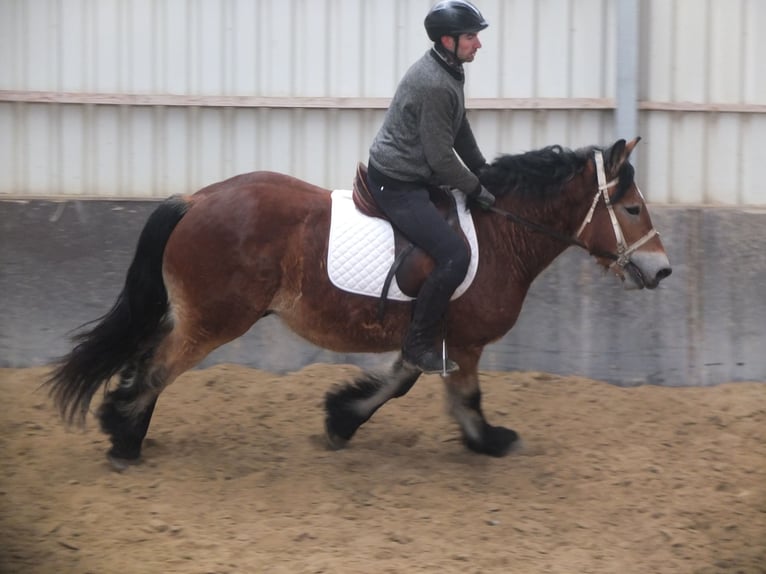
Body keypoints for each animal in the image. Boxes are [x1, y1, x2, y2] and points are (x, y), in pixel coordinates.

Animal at [46, 137, 672, 470]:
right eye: (633, 208)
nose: (662, 269)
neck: (501, 237)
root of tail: (194, 200)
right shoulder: (463, 341)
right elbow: (464, 396)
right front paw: (490, 440)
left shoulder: (430, 334)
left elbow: (399, 381)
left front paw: (341, 420)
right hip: (213, 320)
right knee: (157, 365)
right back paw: (123, 438)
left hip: (198, 315)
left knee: (146, 358)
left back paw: (126, 430)